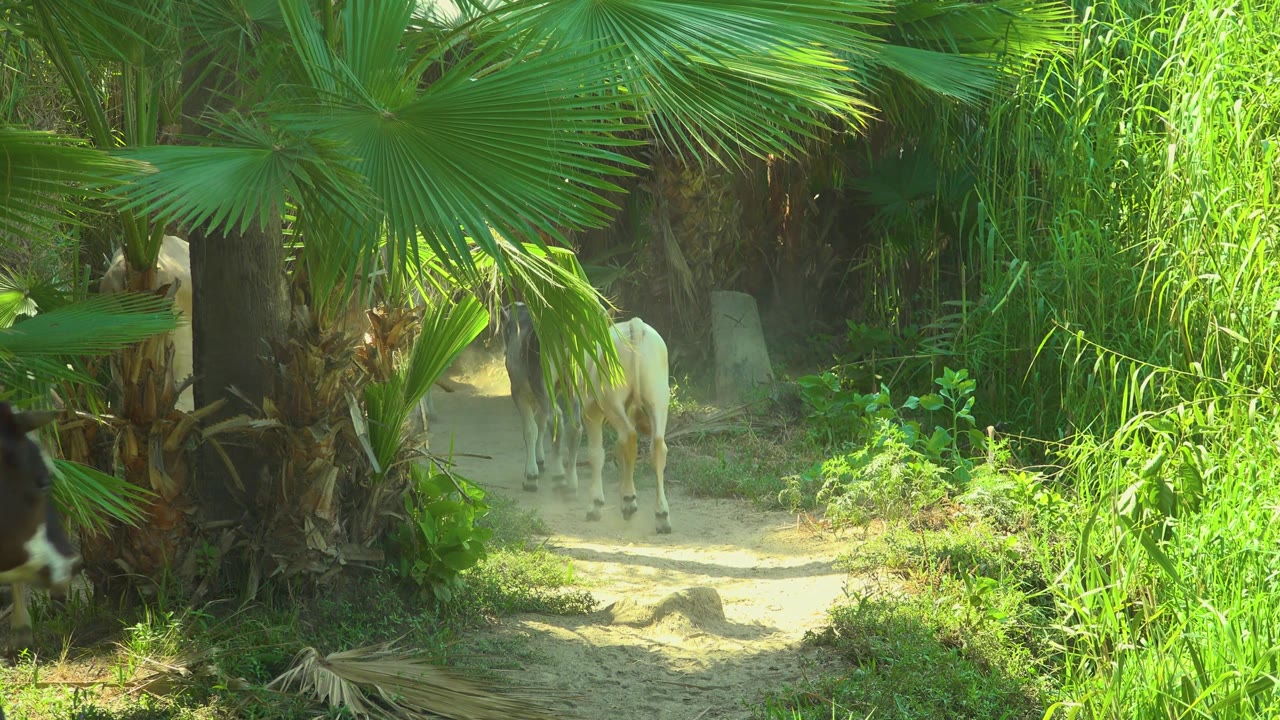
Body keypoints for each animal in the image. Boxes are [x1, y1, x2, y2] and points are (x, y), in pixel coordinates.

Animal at [501, 302, 580, 492]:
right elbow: (540, 424)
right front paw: (540, 461)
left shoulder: (519, 391)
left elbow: (531, 430)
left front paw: (531, 475)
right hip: (573, 386)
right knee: (574, 424)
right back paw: (572, 481)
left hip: (544, 385)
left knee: (556, 418)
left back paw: (559, 476)